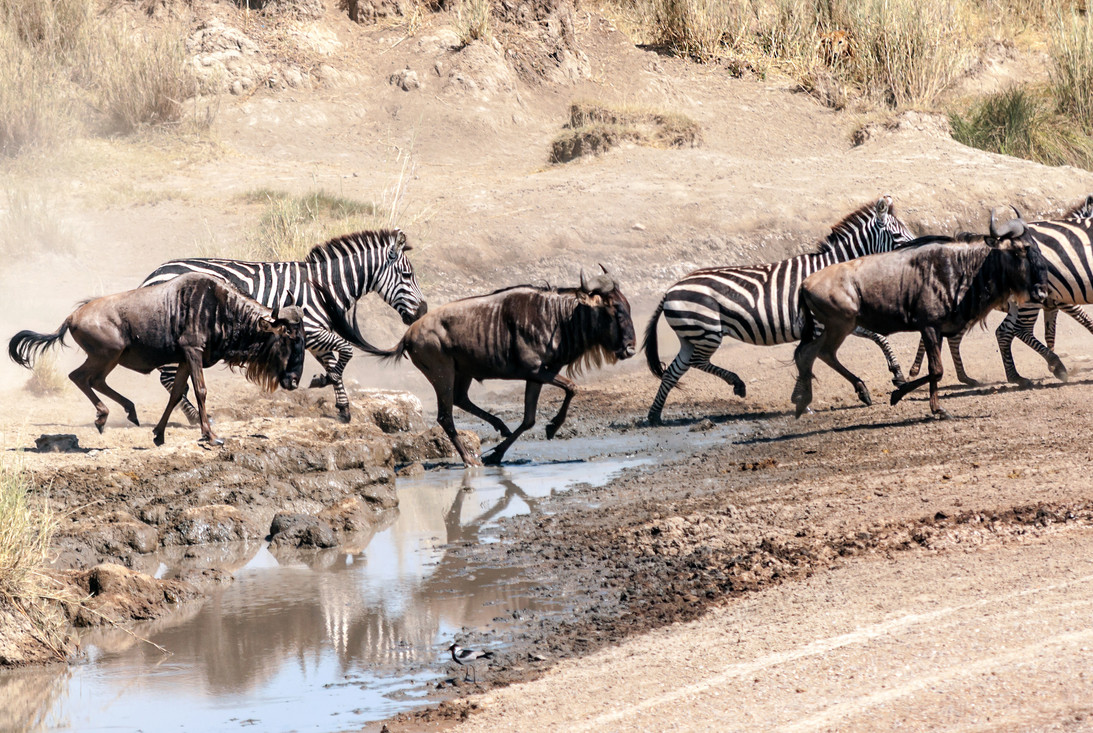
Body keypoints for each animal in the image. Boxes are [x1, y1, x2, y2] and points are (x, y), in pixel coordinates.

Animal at [137, 229, 426, 423]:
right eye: (407, 275)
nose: (423, 311)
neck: (323, 286)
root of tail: (154, 273)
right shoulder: (311, 331)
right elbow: (346, 351)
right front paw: (323, 381)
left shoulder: (315, 338)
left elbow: (335, 363)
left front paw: (342, 406)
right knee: (167, 377)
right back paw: (195, 417)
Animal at [642, 194, 918, 423]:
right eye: (898, 237)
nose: (917, 255)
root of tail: (669, 290)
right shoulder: (822, 324)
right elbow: (816, 356)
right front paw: (806, 399)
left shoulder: (838, 320)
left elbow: (878, 337)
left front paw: (897, 374)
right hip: (706, 330)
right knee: (697, 362)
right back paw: (737, 384)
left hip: (692, 336)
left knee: (674, 370)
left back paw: (655, 416)